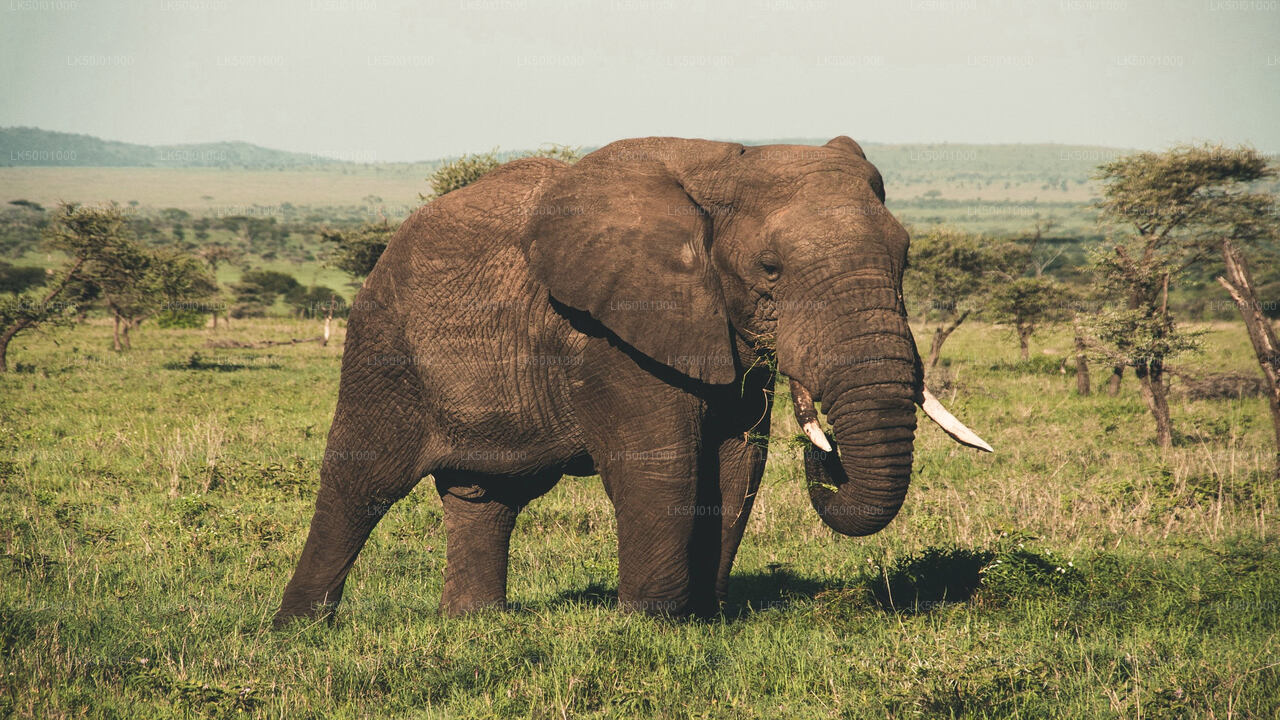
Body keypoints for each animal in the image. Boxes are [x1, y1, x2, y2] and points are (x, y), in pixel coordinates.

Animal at [275, 133, 993, 622]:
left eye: (906, 258)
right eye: (770, 270)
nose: (828, 450)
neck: (728, 160)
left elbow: (737, 465)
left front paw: (707, 619)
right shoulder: (612, 334)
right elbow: (660, 462)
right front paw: (653, 627)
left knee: (487, 495)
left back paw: (476, 626)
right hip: (384, 345)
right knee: (361, 481)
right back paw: (300, 630)